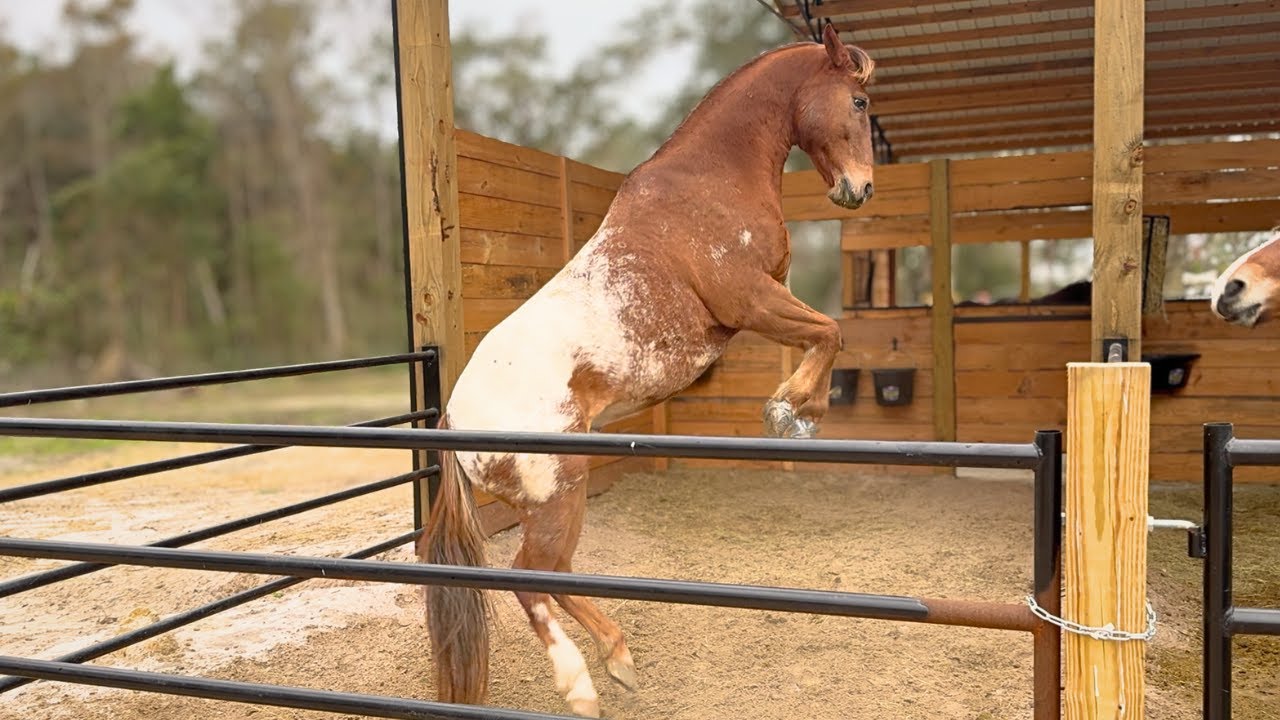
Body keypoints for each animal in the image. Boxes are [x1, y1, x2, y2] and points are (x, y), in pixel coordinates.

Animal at [420, 24, 877, 717]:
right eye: (859, 102)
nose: (861, 189)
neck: (710, 181)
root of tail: (452, 418)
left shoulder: (768, 298)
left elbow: (827, 332)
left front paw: (799, 413)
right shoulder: (750, 300)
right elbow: (830, 331)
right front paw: (790, 410)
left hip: (561, 500)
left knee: (553, 573)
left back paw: (619, 659)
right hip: (558, 495)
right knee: (530, 578)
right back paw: (580, 686)